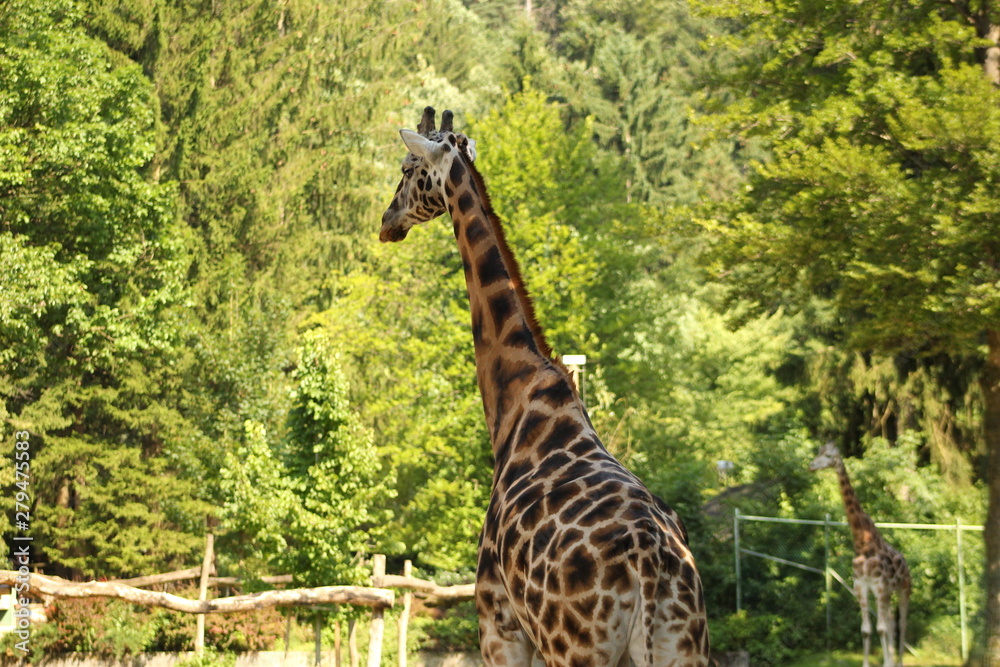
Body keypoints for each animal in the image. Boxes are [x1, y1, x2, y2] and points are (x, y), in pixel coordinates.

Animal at [380, 107, 709, 667]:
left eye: (407, 169)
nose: (386, 222)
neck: (513, 397)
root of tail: (651, 567)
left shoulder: (499, 623)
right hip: (683, 645)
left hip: (575, 648)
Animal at [810, 442, 911, 667]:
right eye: (818, 452)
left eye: (828, 455)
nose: (811, 466)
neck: (863, 544)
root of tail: (906, 563)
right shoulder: (861, 586)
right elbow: (866, 630)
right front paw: (873, 662)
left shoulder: (879, 586)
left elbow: (881, 628)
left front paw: (887, 662)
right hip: (887, 594)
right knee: (891, 623)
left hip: (904, 590)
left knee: (901, 624)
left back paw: (898, 661)